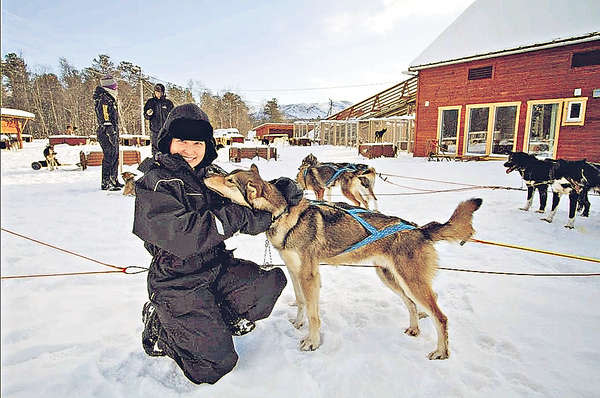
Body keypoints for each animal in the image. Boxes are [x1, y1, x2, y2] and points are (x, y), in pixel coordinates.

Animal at [206, 163, 482, 360]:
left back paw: (442, 352)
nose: (208, 171)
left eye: (230, 180)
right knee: (412, 305)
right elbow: (301, 301)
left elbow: (314, 313)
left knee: (440, 317)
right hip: (390, 278)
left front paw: (312, 342)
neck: (283, 215)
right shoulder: (295, 272)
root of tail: (419, 229)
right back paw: (414, 328)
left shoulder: (309, 275)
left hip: (412, 282)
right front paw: (298, 323)